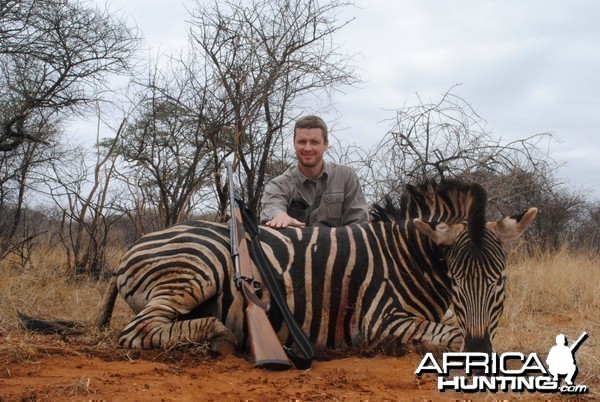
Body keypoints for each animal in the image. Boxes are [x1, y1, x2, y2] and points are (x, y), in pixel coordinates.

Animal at [96, 181, 536, 356]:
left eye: (499, 282)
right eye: (457, 282)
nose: (480, 353)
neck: (409, 257)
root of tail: (133, 247)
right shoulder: (380, 320)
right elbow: (451, 334)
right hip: (196, 270)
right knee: (137, 331)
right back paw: (221, 334)